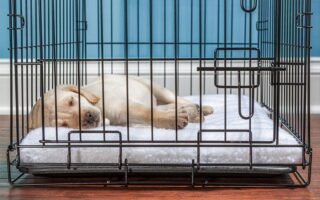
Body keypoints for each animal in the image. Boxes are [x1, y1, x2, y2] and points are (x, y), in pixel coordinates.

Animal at [28, 75, 214, 130]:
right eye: (64, 125)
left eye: (72, 101)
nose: (88, 118)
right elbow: (148, 115)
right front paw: (176, 116)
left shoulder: (126, 106)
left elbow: (148, 113)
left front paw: (172, 119)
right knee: (165, 106)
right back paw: (192, 111)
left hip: (156, 88)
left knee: (174, 99)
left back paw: (203, 108)